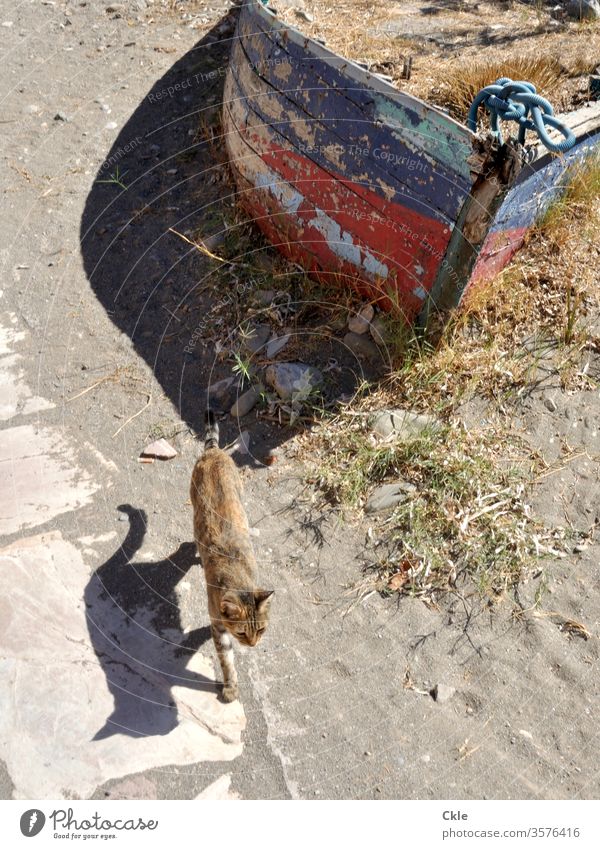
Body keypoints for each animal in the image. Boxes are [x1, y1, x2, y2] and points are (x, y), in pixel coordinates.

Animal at [190, 410, 274, 704]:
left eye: (261, 630)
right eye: (241, 633)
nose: (254, 644)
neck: (238, 581)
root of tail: (214, 452)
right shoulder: (218, 626)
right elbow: (226, 660)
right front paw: (230, 687)